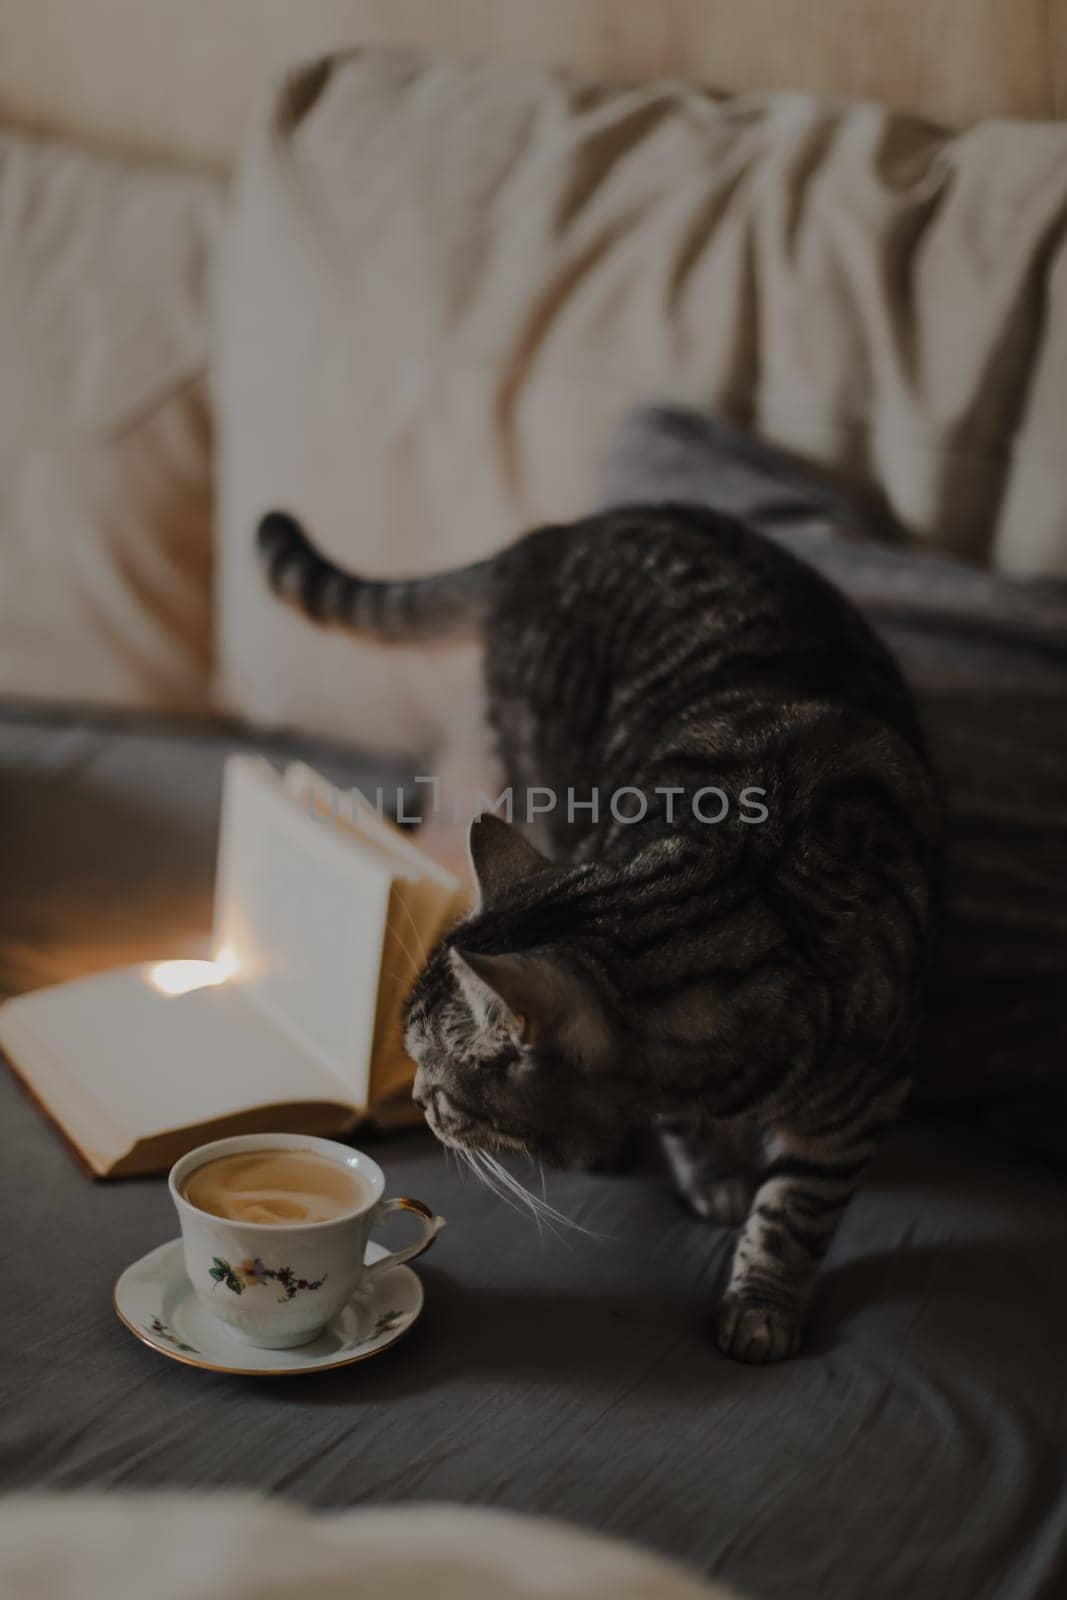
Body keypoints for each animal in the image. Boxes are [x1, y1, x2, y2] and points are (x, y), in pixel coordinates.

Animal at [255, 502, 934, 1363]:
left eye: (431, 1072)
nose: (410, 1097)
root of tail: (553, 535)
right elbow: (691, 1136)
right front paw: (709, 1176)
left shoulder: (863, 1099)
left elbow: (795, 1212)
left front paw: (762, 1301)